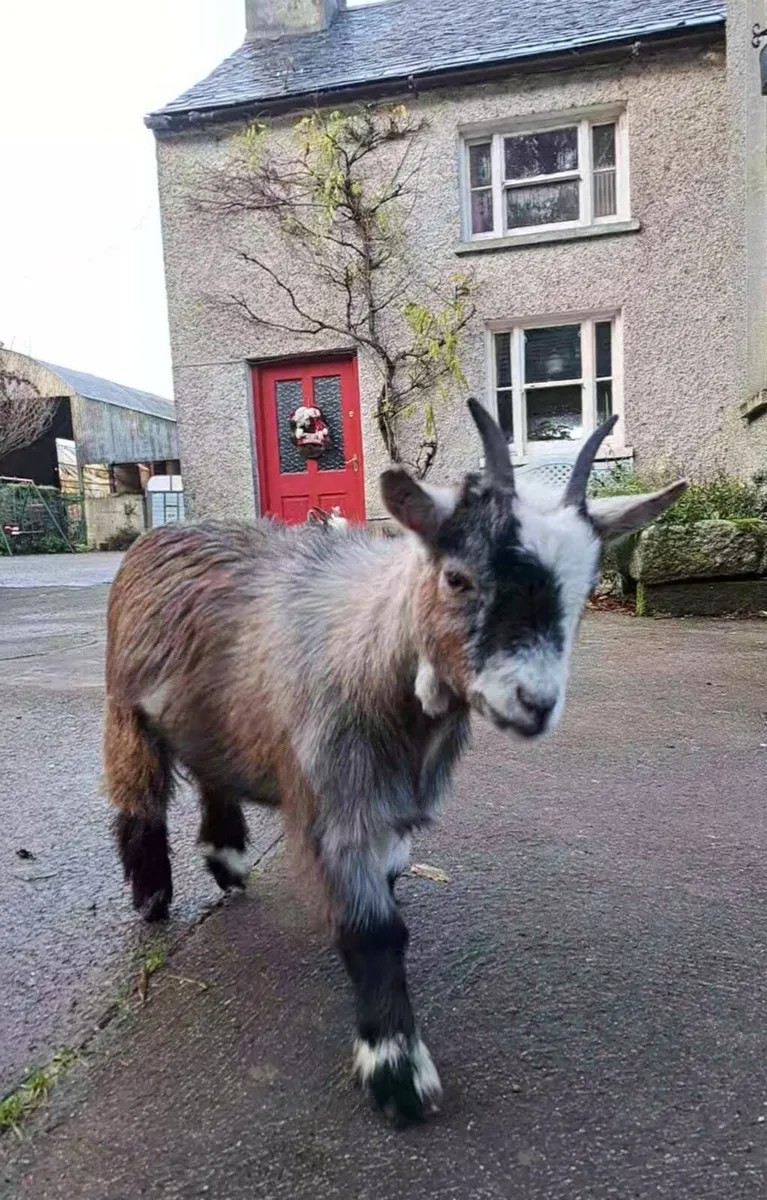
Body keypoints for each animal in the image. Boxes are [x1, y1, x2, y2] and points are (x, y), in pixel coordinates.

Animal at [104, 400, 685, 1124]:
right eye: (457, 577)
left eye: (583, 591)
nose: (534, 702)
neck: (378, 651)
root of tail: (165, 531)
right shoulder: (338, 800)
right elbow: (375, 932)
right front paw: (397, 1073)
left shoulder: (392, 807)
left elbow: (391, 876)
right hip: (125, 709)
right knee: (138, 794)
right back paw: (153, 893)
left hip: (214, 714)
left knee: (214, 770)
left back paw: (227, 858)